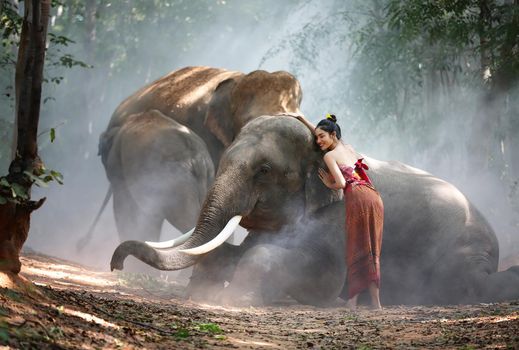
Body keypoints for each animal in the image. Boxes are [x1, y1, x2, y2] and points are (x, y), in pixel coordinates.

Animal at [110, 115, 519, 306]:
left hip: (460, 255)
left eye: (264, 170)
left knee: (468, 284)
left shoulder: (337, 217)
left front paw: (234, 300)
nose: (115, 264)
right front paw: (203, 293)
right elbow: (239, 252)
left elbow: (317, 273)